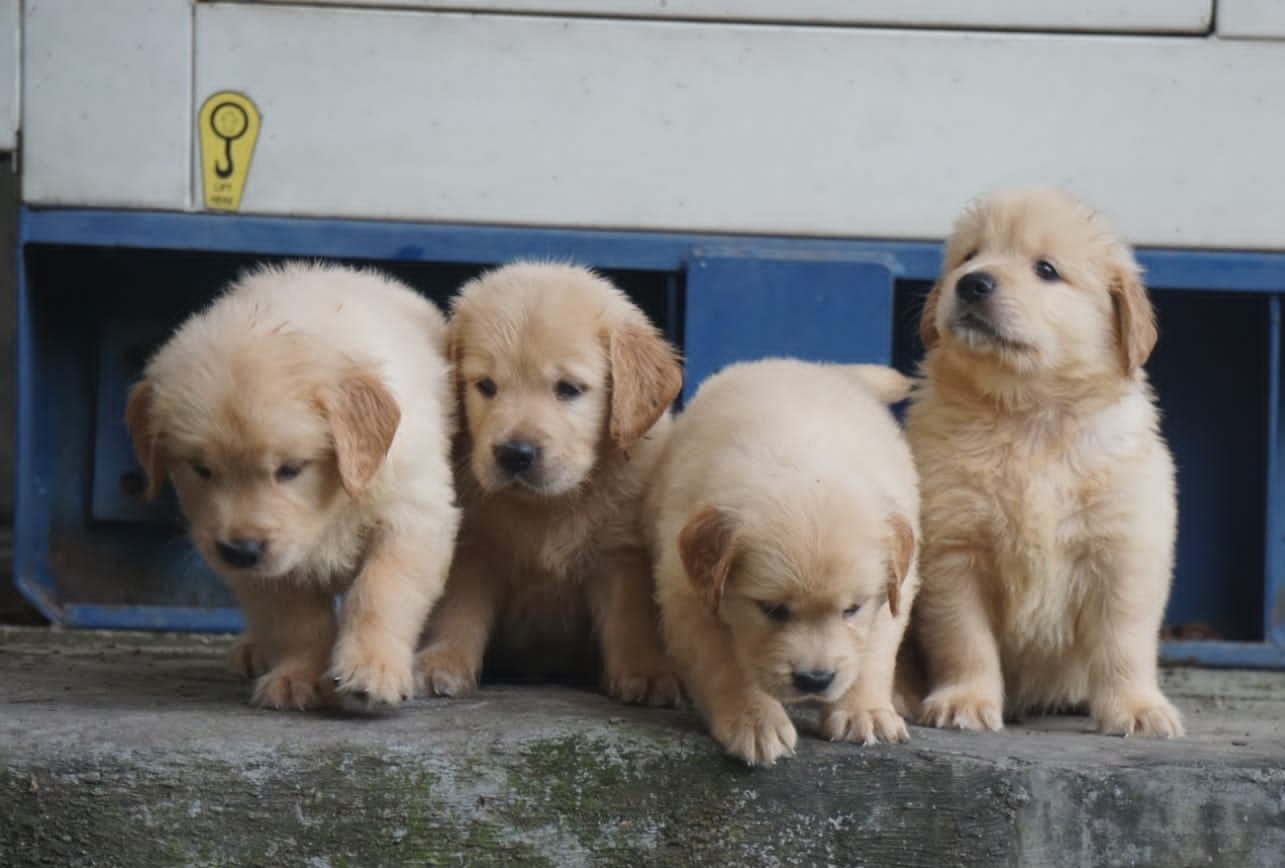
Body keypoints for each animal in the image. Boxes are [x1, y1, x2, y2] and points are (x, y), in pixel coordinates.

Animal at [125, 264, 457, 714]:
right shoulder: (271, 563)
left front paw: (371, 669)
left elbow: (380, 592)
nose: (240, 551)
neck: (333, 507)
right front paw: (296, 677)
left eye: (290, 469)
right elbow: (296, 620)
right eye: (201, 469)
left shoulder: (412, 516)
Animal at [418, 263, 683, 704]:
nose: (514, 454)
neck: (547, 506)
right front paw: (443, 661)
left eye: (568, 389)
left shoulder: (621, 551)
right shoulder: (474, 546)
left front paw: (645, 672)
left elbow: (629, 616)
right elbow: (458, 608)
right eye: (485, 386)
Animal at [647, 360, 920, 766]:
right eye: (772, 609)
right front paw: (756, 721)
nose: (815, 681)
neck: (801, 457)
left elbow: (872, 654)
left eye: (851, 609)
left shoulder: (892, 589)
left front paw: (864, 712)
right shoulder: (689, 596)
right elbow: (727, 665)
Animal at [909, 186, 1177, 735]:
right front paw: (965, 700)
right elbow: (962, 639)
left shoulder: (1124, 551)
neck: (1029, 418)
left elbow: (1124, 641)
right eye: (968, 256)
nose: (972, 283)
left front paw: (1136, 707)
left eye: (1046, 270)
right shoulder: (953, 553)